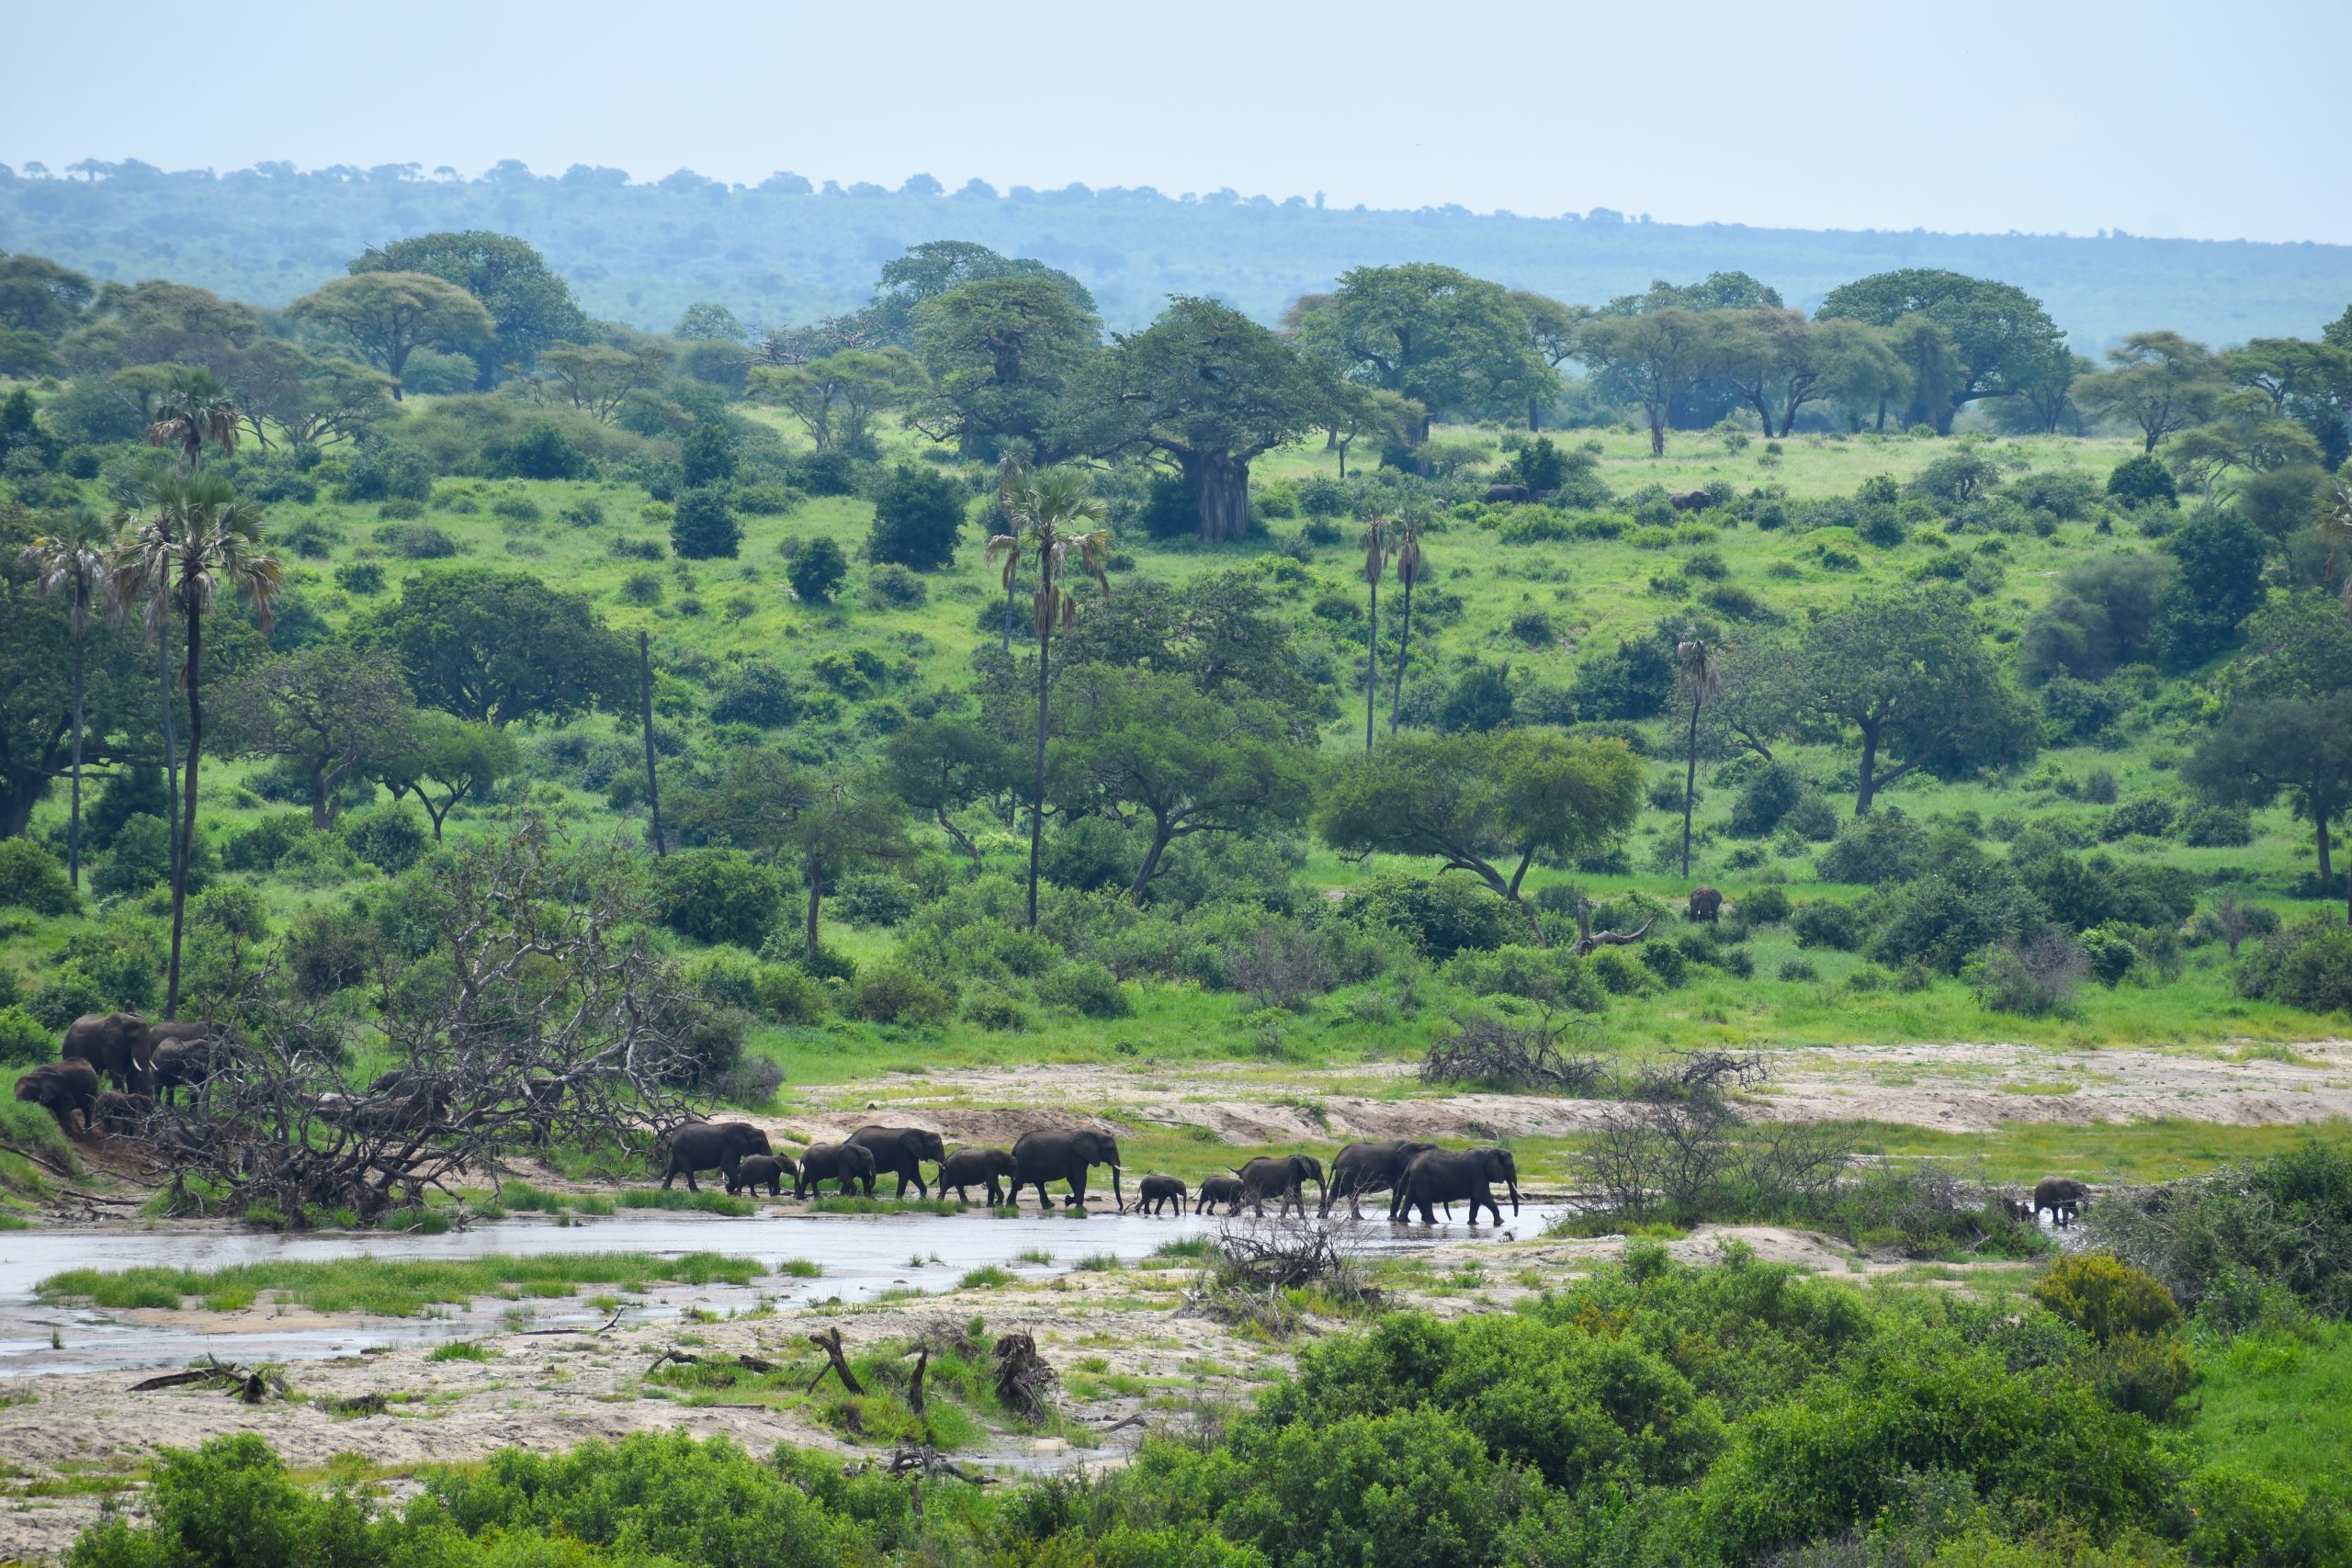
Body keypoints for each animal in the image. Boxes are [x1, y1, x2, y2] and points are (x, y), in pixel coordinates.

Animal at [1394, 1146, 1520, 1226]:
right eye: (1510, 1165)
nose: (1515, 1216)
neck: (1491, 1150)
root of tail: (1411, 1163)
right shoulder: (1478, 1173)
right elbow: (1481, 1195)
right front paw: (1501, 1222)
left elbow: (1476, 1199)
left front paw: (1473, 1224)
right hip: (1422, 1178)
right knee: (1425, 1200)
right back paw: (1434, 1222)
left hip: (1415, 1178)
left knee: (1410, 1197)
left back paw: (1404, 1221)